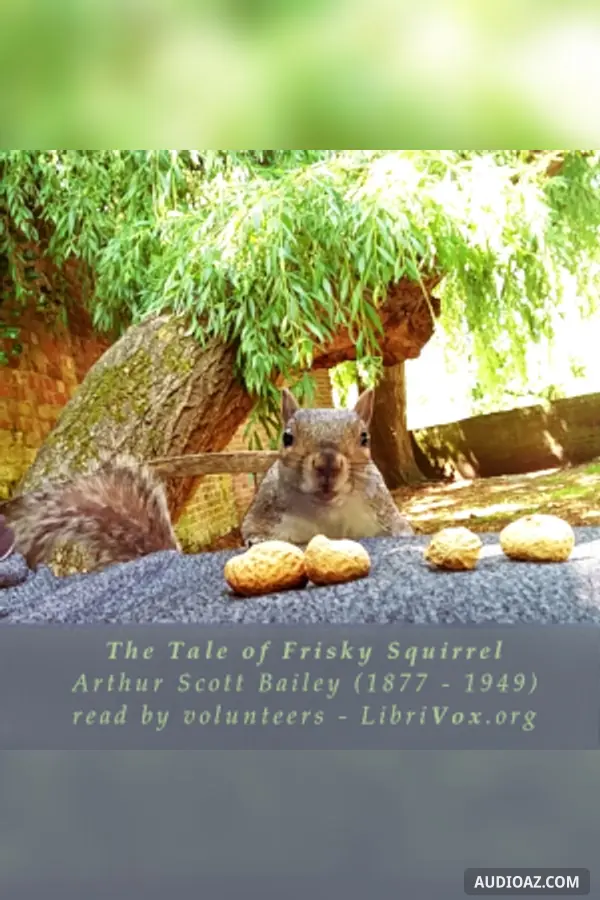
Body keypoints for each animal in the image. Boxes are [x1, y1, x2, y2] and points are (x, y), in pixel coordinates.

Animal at [241, 388, 413, 546]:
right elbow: (254, 528)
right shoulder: (266, 509)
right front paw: (257, 539)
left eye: (364, 438)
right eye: (287, 437)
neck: (326, 512)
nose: (328, 464)